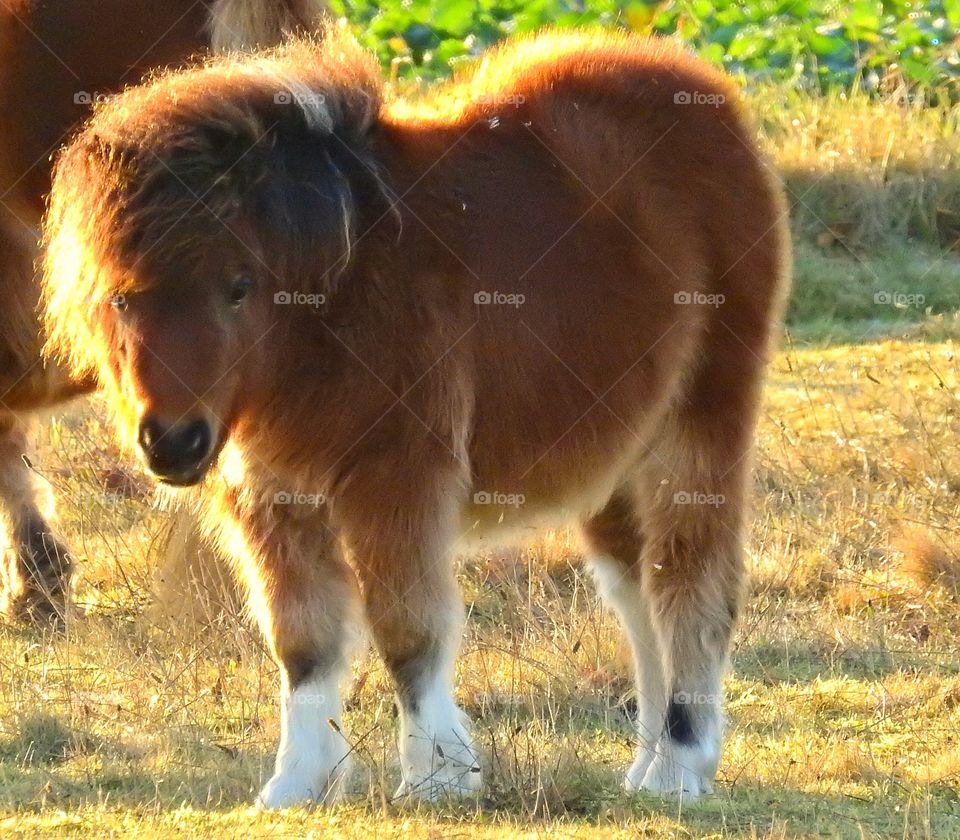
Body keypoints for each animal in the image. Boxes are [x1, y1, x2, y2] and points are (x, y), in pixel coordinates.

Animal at [41, 29, 792, 808]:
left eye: (239, 286)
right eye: (119, 298)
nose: (173, 442)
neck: (331, 306)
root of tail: (711, 98)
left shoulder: (395, 481)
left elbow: (407, 633)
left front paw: (438, 776)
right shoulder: (272, 496)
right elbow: (301, 644)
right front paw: (298, 783)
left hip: (697, 429)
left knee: (689, 587)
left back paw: (681, 764)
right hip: (614, 459)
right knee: (638, 598)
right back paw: (646, 770)